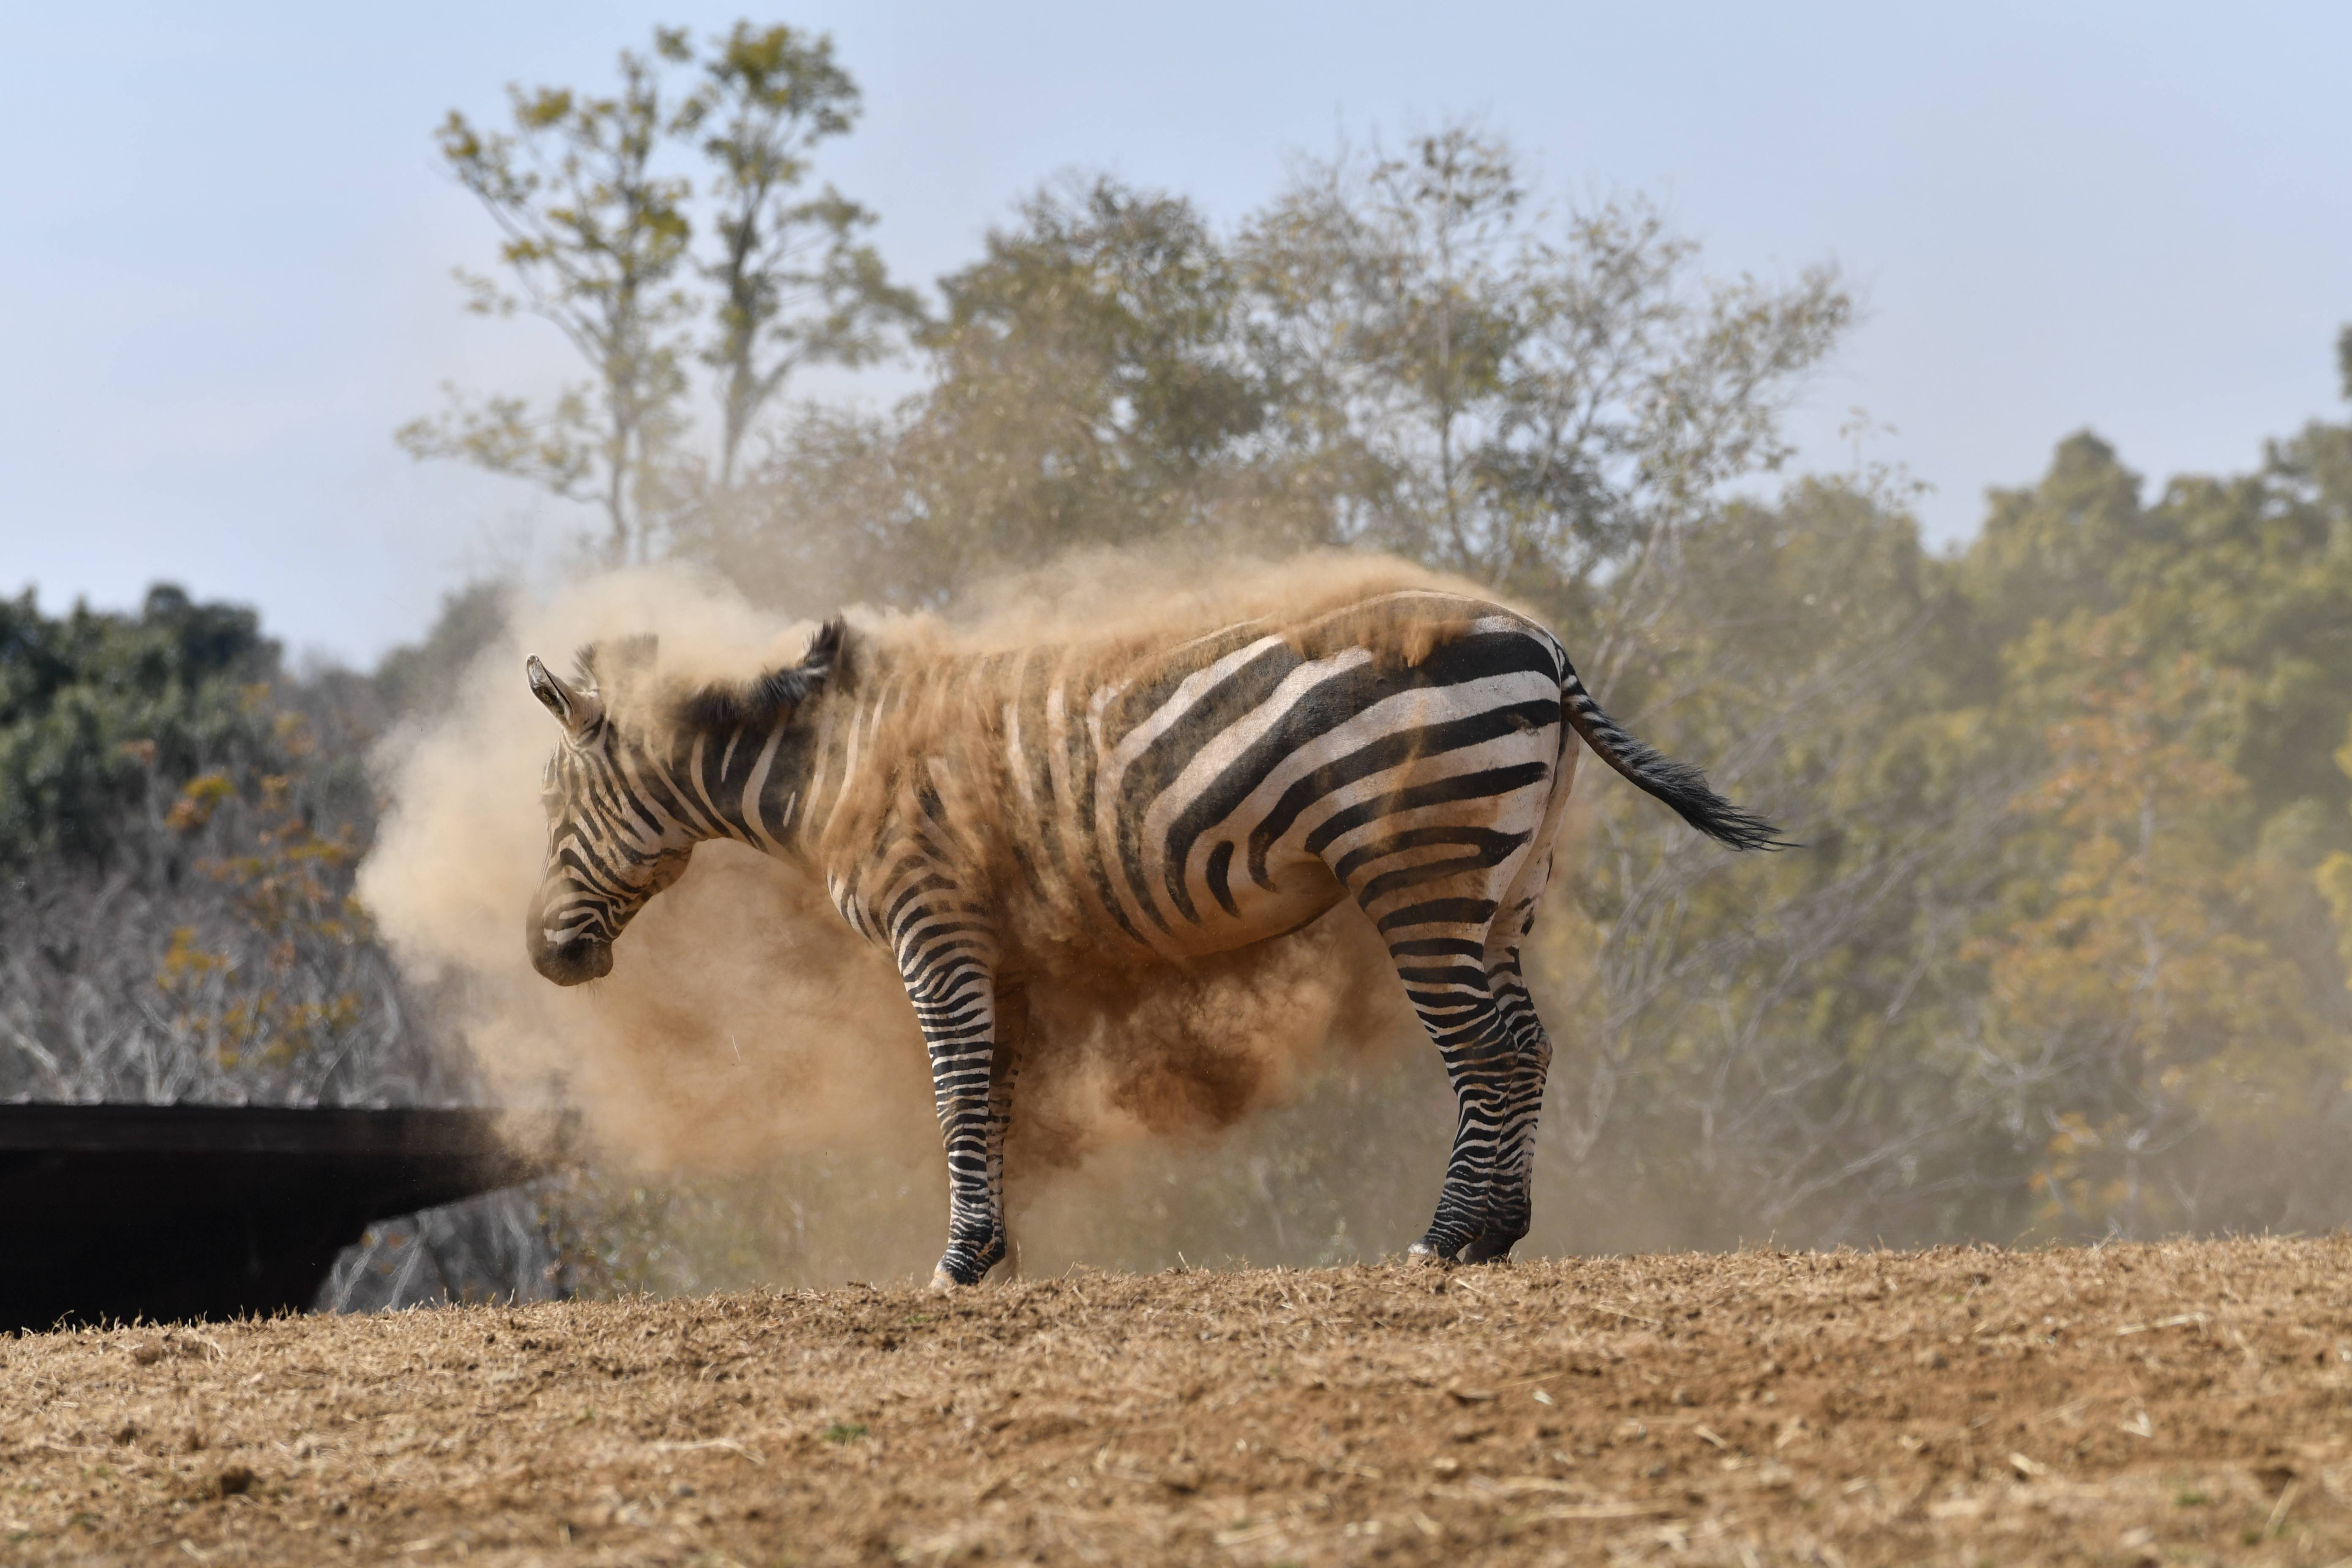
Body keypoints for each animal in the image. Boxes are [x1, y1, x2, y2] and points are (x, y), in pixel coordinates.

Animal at [524, 588, 1778, 1288]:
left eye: (547, 802)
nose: (546, 957)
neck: (838, 768)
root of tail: (1543, 645)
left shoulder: (936, 925)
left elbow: (955, 1095)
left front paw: (956, 1262)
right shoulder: (1000, 951)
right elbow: (997, 1100)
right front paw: (997, 1258)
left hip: (1420, 871)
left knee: (1491, 1053)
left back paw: (1447, 1239)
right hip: (1503, 880)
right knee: (1529, 1044)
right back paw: (1498, 1233)